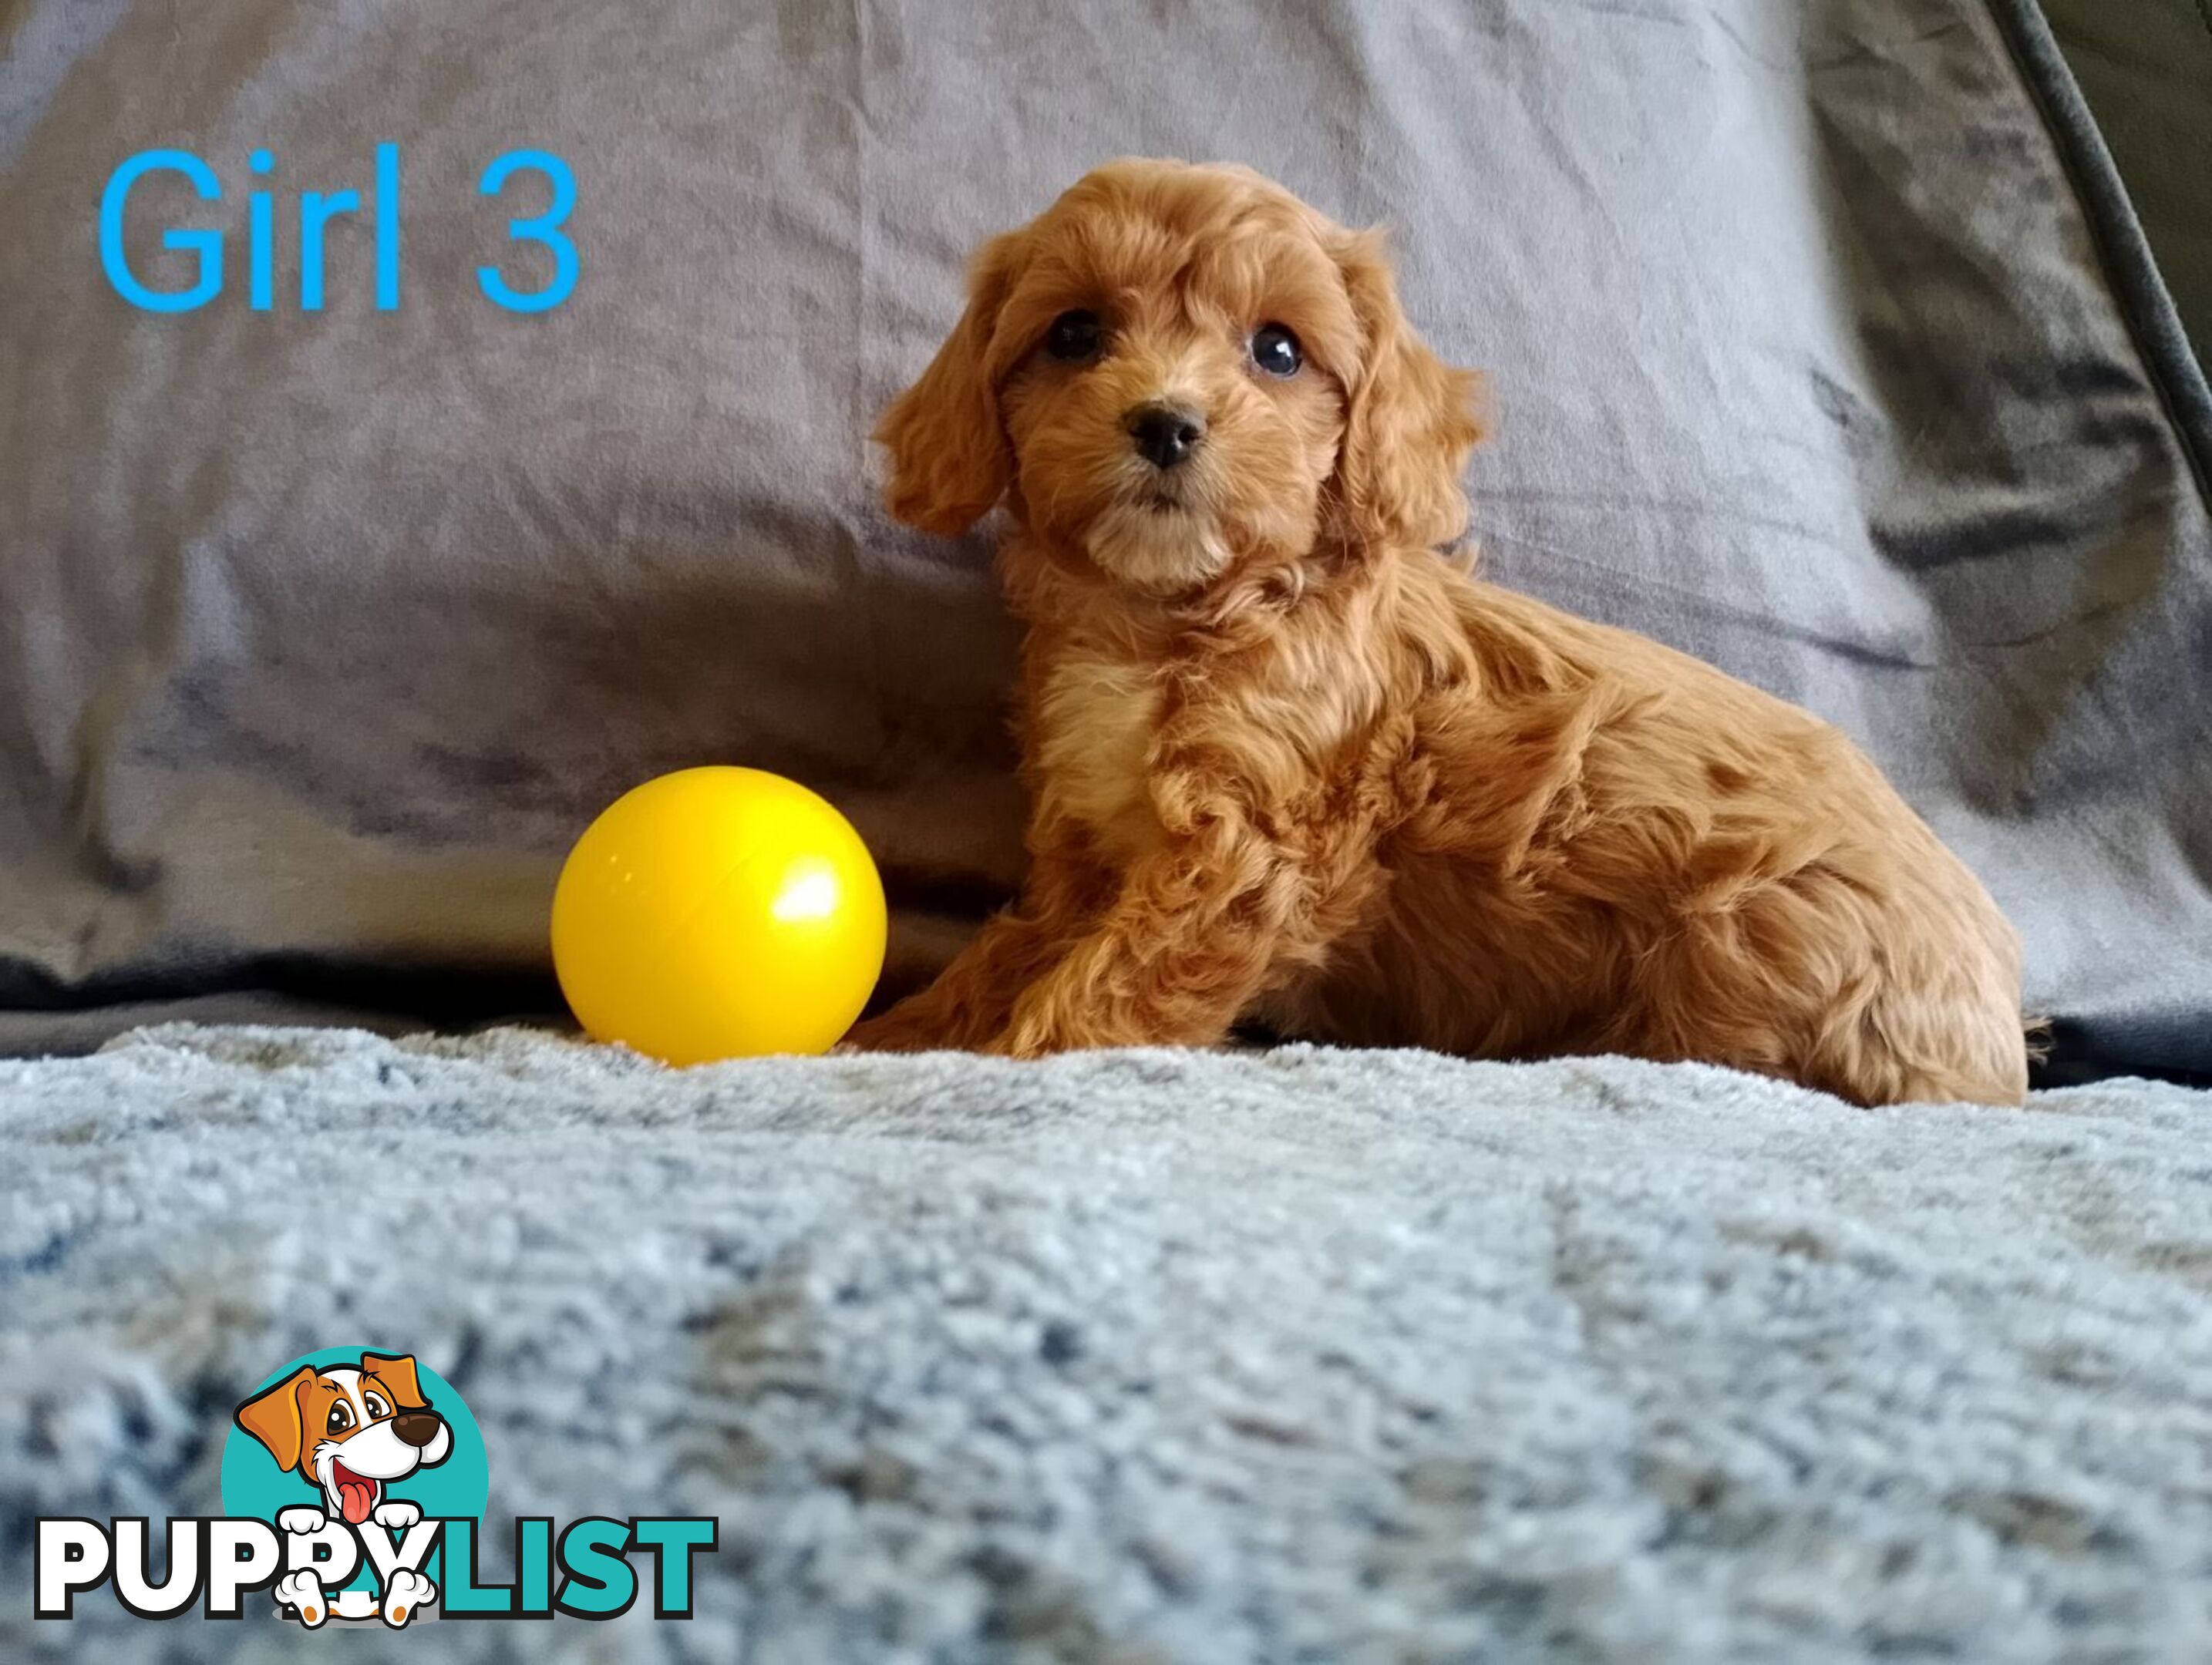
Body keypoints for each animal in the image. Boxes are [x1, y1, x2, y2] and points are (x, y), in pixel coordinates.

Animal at [840, 156, 2026, 1105]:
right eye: (1076, 334)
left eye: (1278, 351)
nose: (1166, 423)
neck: (1170, 617)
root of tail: (2001, 1030)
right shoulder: (1087, 854)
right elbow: (1010, 958)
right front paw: (898, 1037)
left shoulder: (1247, 853)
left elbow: (1103, 990)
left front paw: (1011, 1060)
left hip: (1761, 933)